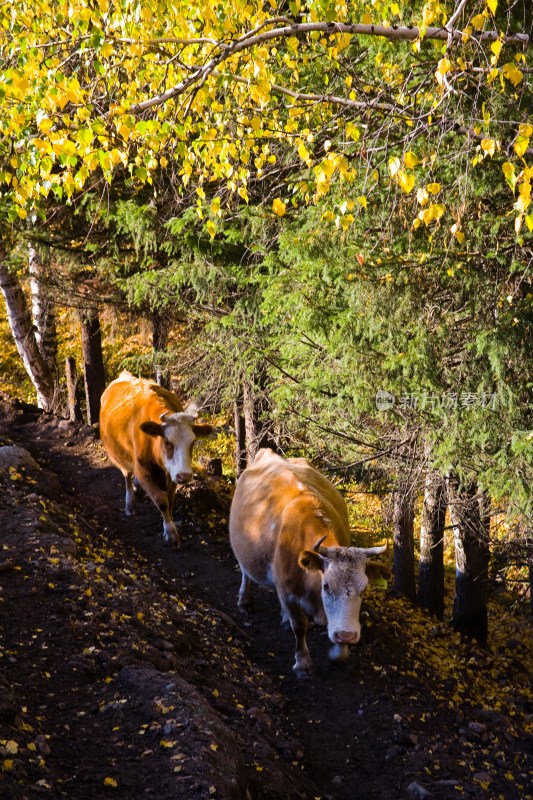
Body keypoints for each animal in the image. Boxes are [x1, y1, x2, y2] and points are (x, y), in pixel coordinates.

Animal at [98, 372, 211, 548]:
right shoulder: (143, 472)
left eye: (192, 442)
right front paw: (171, 533)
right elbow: (161, 500)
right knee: (127, 477)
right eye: (167, 443)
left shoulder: (173, 475)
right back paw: (130, 504)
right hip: (120, 458)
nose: (185, 476)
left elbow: (170, 500)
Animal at [230, 446, 390, 680]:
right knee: (244, 572)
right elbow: (300, 626)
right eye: (326, 586)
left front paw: (338, 652)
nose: (347, 635)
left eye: (364, 589)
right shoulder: (288, 591)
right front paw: (303, 664)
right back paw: (244, 601)